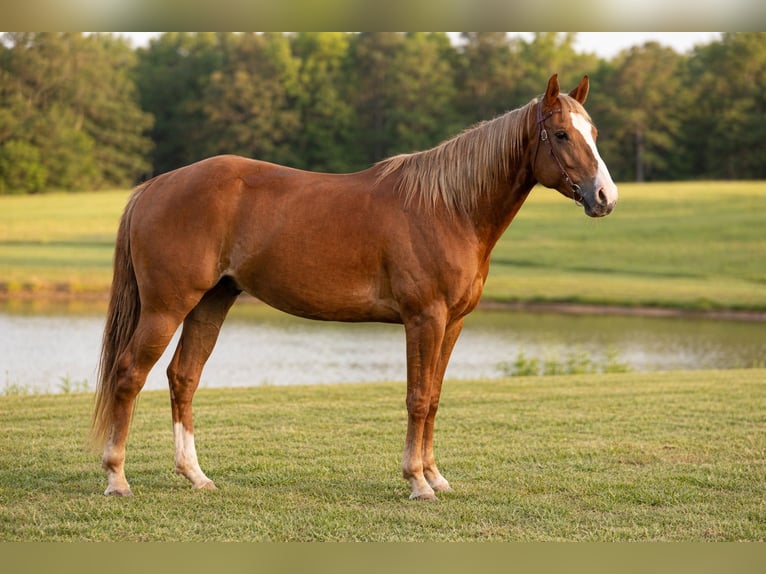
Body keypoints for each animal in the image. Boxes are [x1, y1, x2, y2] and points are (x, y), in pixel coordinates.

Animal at [92, 74, 617, 500]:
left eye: (593, 134)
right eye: (562, 134)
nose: (605, 197)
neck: (449, 208)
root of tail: (154, 187)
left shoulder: (452, 324)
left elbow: (434, 398)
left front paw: (436, 475)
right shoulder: (424, 319)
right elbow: (417, 398)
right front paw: (417, 482)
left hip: (209, 303)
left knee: (183, 378)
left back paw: (195, 475)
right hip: (166, 307)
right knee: (129, 374)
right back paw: (117, 478)